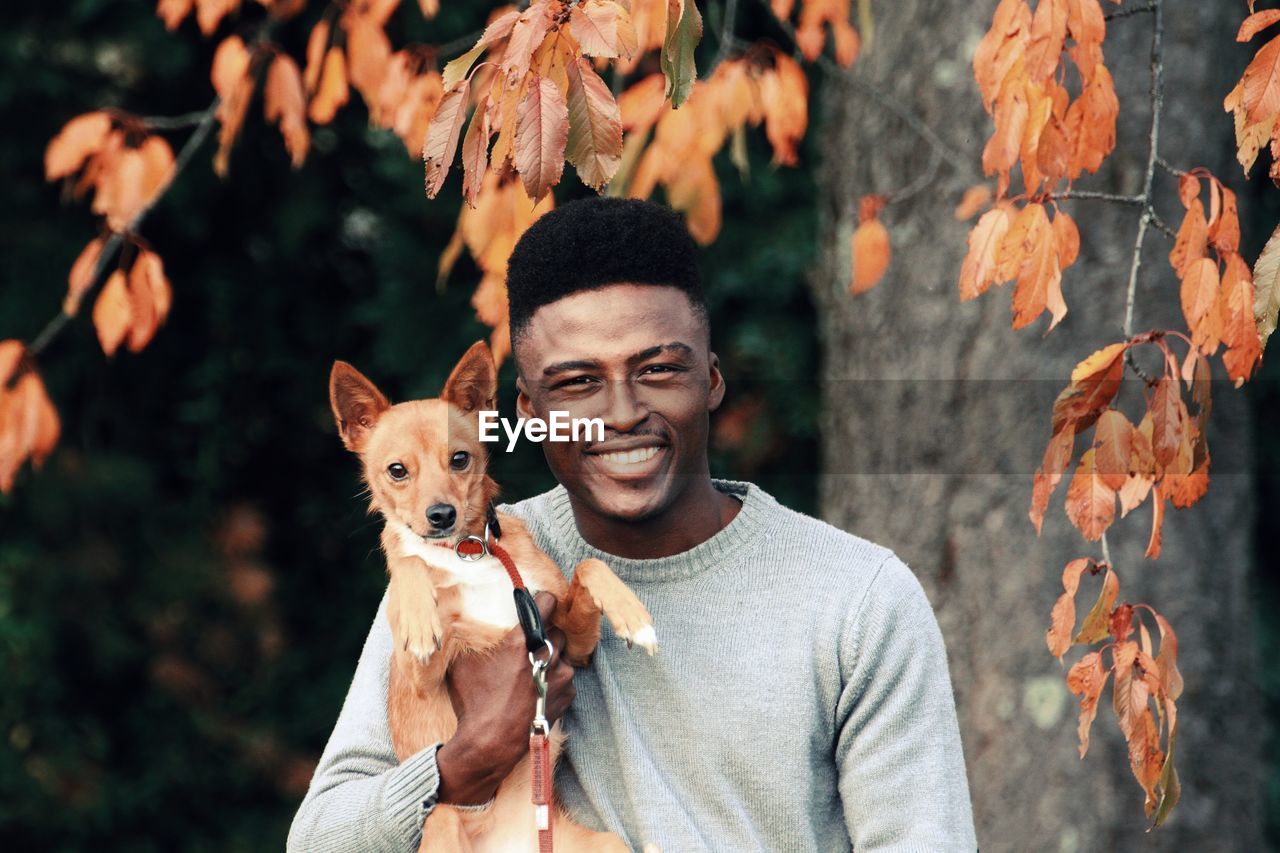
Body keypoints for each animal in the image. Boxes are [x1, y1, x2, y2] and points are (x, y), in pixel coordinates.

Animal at [330, 340, 655, 850]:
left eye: (460, 459)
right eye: (397, 471)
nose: (440, 515)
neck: (466, 552)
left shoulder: (570, 643)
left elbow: (589, 566)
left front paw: (633, 615)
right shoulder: (422, 677)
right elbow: (409, 563)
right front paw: (419, 613)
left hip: (608, 843)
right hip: (443, 819)